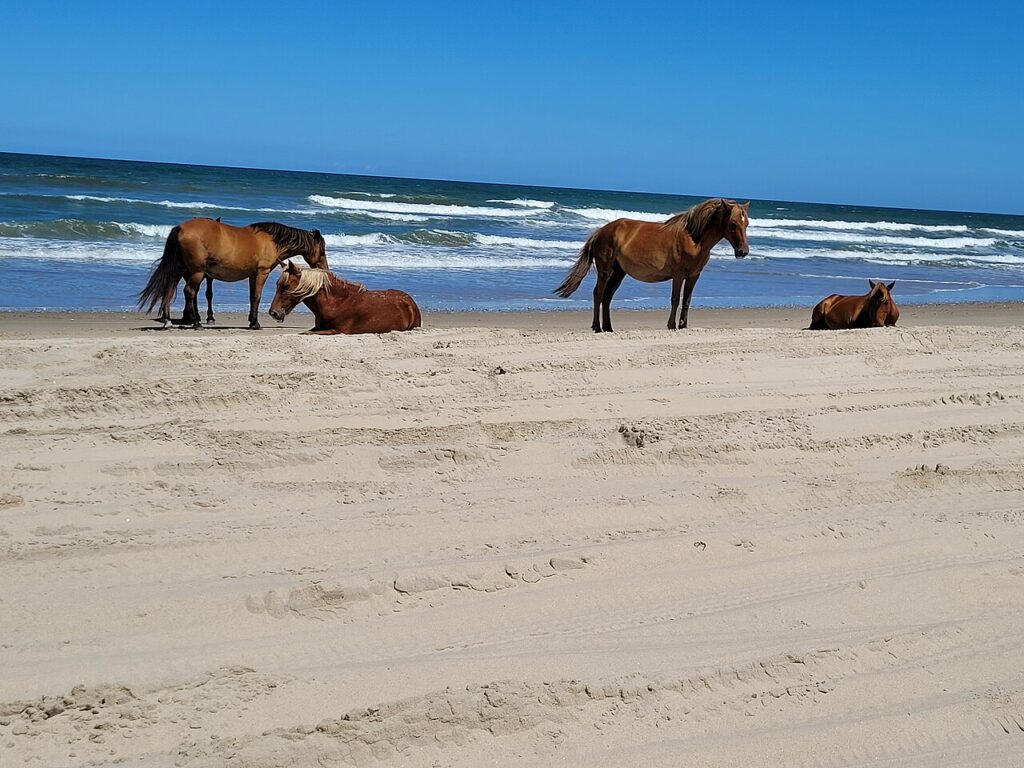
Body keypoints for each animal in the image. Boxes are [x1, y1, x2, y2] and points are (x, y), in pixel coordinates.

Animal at [137, 218, 328, 330]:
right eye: (323, 249)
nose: (325, 268)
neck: (271, 240)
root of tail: (181, 228)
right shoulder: (262, 273)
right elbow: (257, 297)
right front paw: (255, 323)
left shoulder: (252, 275)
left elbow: (252, 297)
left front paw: (251, 320)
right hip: (196, 272)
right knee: (189, 293)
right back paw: (196, 322)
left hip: (181, 270)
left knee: (169, 291)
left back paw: (169, 321)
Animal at [267, 262, 421, 335]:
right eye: (277, 284)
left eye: (286, 286)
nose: (273, 313)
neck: (337, 303)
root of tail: (409, 301)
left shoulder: (338, 331)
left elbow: (306, 333)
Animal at [554, 198, 750, 332]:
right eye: (733, 224)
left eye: (746, 223)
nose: (743, 251)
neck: (694, 239)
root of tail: (600, 231)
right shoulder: (678, 275)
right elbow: (675, 299)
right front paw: (671, 325)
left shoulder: (694, 276)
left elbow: (687, 300)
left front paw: (683, 325)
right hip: (605, 270)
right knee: (598, 294)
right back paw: (597, 327)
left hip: (618, 272)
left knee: (607, 296)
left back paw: (608, 327)